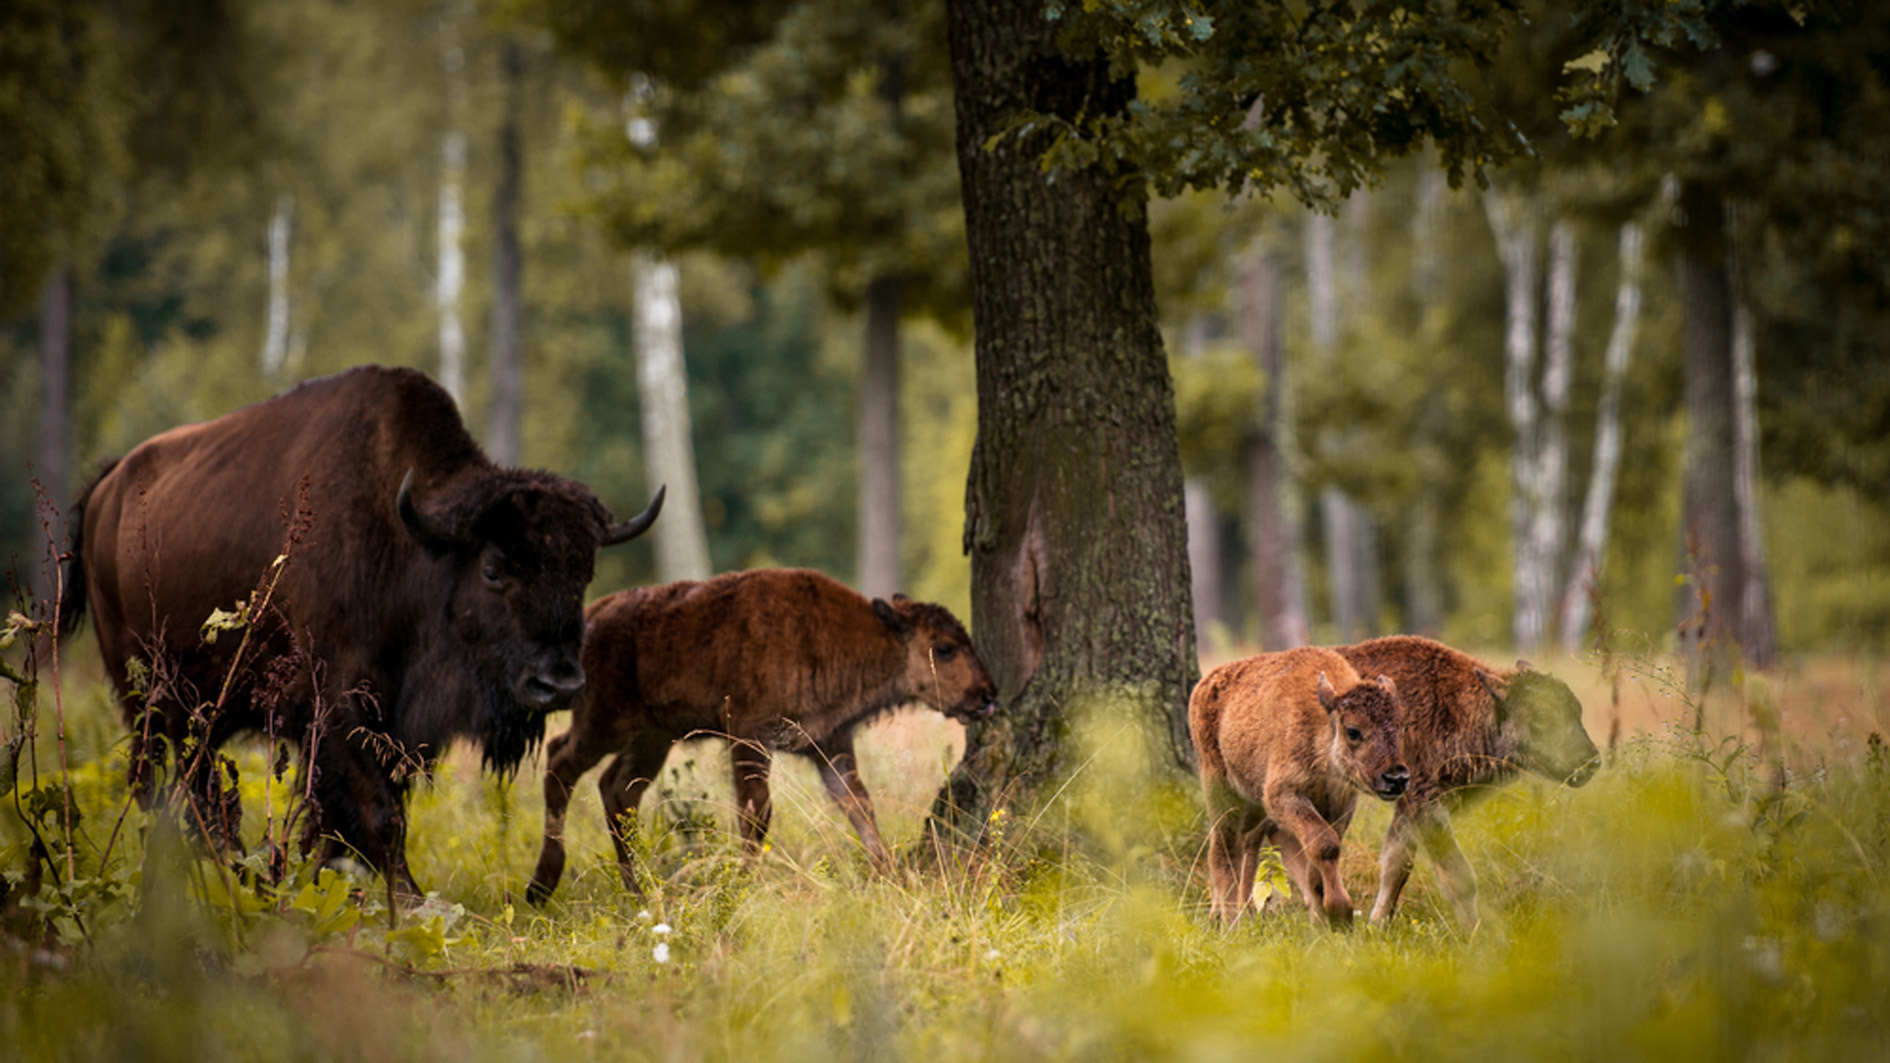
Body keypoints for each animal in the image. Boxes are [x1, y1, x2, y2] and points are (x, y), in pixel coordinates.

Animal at [57, 361, 665, 885]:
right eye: (493, 568)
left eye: (584, 571)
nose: (558, 682)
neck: (411, 544)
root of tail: (106, 490)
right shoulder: (334, 709)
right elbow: (377, 816)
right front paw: (409, 901)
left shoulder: (391, 725)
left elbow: (353, 820)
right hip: (148, 700)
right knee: (162, 785)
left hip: (202, 710)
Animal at [525, 567, 997, 896]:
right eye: (944, 647)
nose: (987, 695)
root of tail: (595, 615)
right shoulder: (750, 738)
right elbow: (756, 813)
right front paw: (744, 882)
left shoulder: (831, 746)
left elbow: (859, 805)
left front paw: (888, 875)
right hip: (603, 723)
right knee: (561, 761)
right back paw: (542, 884)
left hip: (653, 737)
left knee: (618, 790)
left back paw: (636, 887)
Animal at [1186, 643, 1413, 923]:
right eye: (1353, 731)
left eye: (1401, 727)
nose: (1397, 778)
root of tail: (1205, 684)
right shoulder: (1283, 796)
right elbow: (1325, 845)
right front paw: (1340, 911)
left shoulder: (1340, 805)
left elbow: (1317, 863)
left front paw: (1327, 918)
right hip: (1219, 787)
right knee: (1223, 846)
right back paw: (1230, 920)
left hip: (1253, 803)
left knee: (1245, 841)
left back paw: (1231, 913)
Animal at [1338, 631, 1602, 923]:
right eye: (1542, 716)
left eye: (1577, 711)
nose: (1590, 762)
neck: (1456, 707)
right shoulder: (1426, 806)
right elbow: (1459, 877)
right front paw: (1475, 931)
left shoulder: (1409, 810)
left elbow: (1396, 865)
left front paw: (1377, 923)